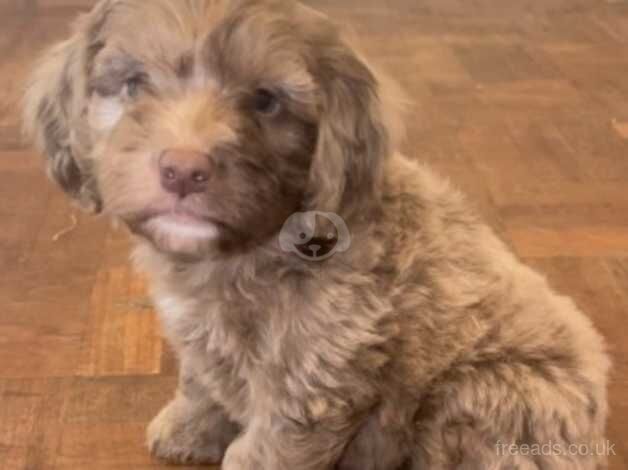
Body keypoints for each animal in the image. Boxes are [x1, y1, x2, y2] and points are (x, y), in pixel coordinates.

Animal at [23, 0, 608, 470]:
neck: (250, 248)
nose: (184, 170)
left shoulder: (312, 375)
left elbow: (267, 449)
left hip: (488, 398)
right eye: (134, 83)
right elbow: (200, 381)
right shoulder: (198, 333)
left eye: (265, 100)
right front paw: (187, 428)